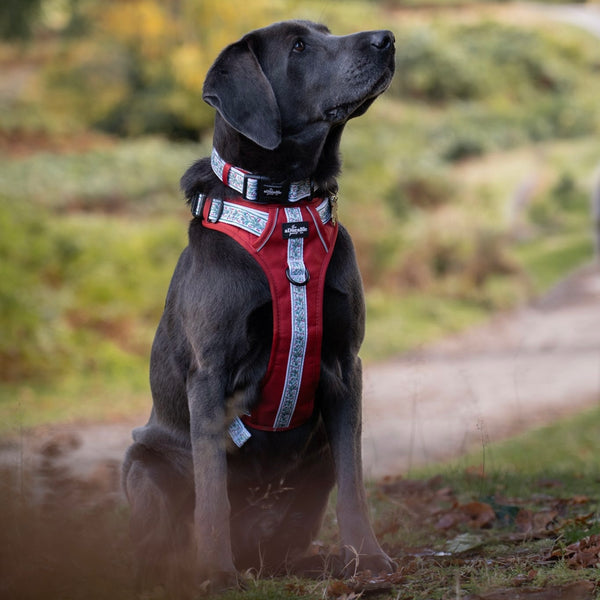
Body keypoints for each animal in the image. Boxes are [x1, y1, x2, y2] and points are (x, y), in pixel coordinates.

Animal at [123, 17, 396, 592]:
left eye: (327, 31)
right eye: (298, 47)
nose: (387, 39)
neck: (286, 207)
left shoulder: (346, 365)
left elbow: (354, 484)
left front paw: (368, 560)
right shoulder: (209, 377)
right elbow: (212, 495)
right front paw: (217, 574)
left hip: (313, 459)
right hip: (144, 463)